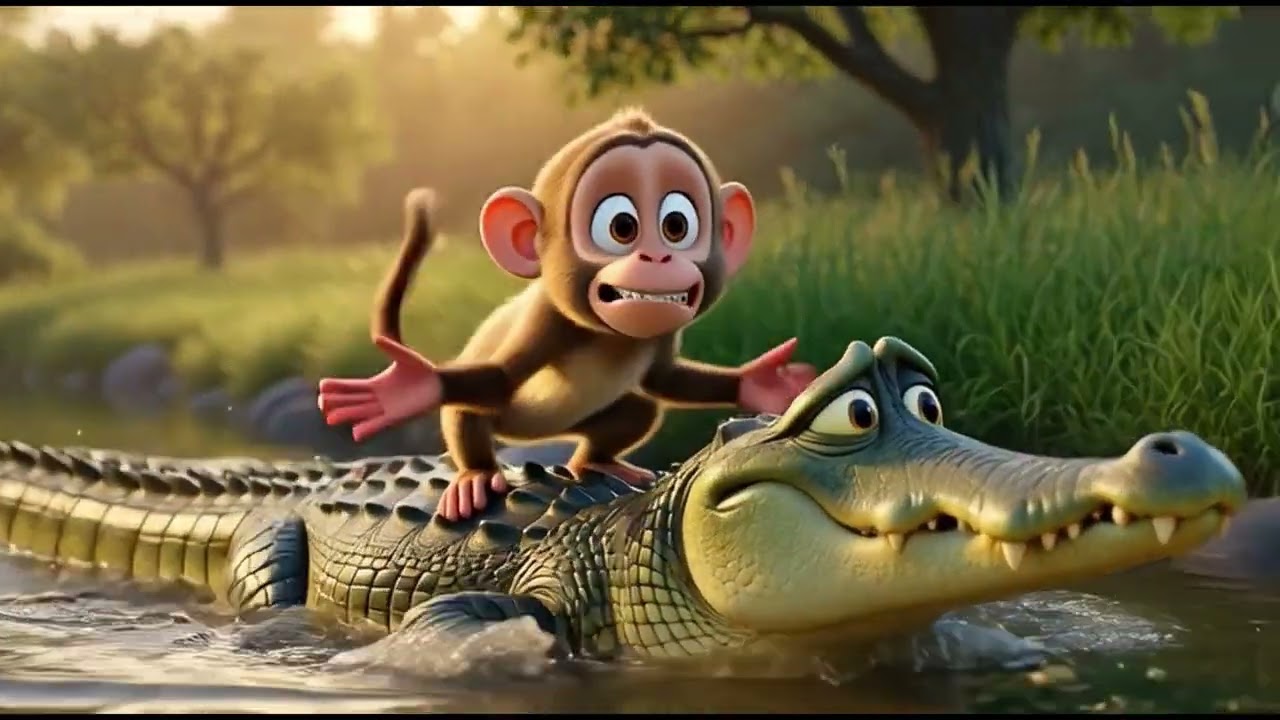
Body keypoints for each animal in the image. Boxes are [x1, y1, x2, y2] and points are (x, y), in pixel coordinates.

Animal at [317, 108, 818, 522]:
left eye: (677, 225)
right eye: (621, 226)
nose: (657, 257)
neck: (610, 335)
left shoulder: (662, 333)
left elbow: (664, 379)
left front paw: (763, 383)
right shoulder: (547, 319)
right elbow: (501, 376)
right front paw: (408, 386)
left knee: (639, 407)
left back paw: (595, 460)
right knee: (469, 406)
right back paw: (475, 476)